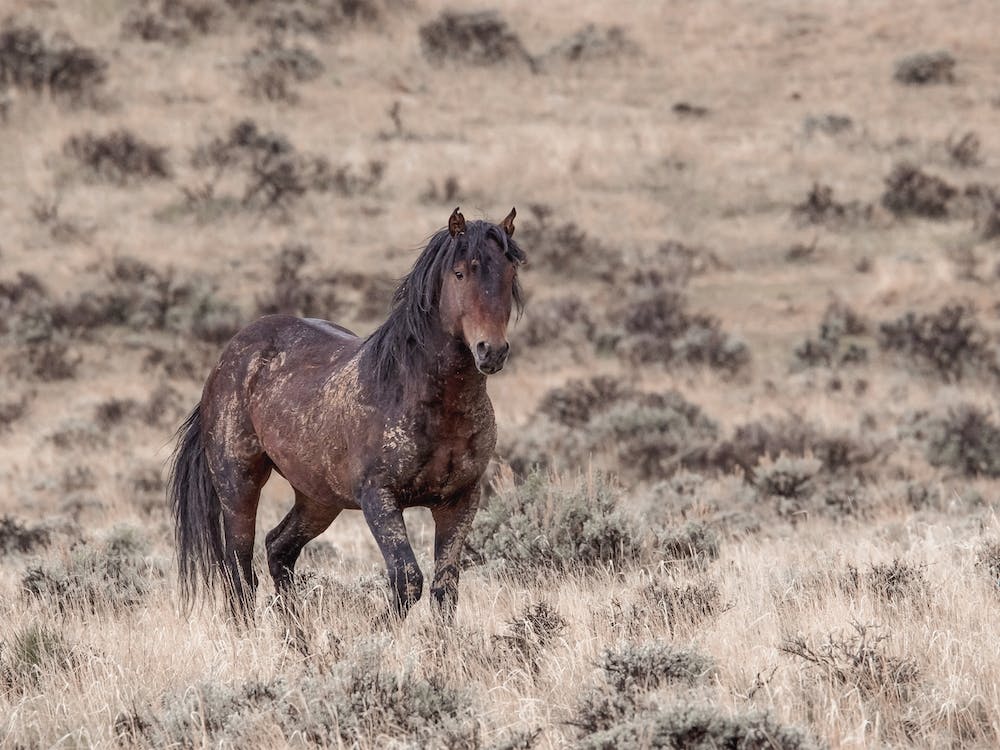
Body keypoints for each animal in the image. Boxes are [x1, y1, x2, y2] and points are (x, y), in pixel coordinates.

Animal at [168, 207, 525, 626]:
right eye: (460, 273)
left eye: (510, 273)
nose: (491, 351)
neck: (425, 398)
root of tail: (226, 359)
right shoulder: (379, 498)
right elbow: (408, 580)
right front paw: (372, 633)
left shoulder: (460, 500)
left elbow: (444, 589)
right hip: (239, 485)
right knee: (239, 570)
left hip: (318, 499)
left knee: (278, 548)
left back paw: (298, 635)